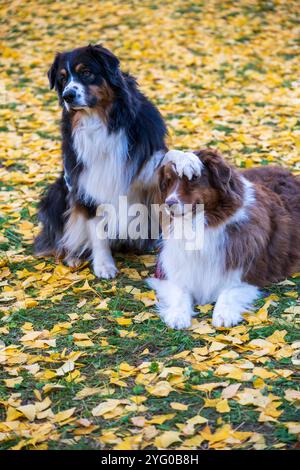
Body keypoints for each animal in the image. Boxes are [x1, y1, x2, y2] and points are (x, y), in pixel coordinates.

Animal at [35, 44, 202, 278]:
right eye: (63, 78)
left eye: (86, 72)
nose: (68, 95)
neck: (102, 120)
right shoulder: (84, 182)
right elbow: (96, 229)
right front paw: (104, 265)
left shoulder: (145, 170)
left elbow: (167, 157)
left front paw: (186, 159)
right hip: (58, 192)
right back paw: (72, 256)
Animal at [149, 149, 300, 328]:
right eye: (168, 182)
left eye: (192, 179)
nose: (169, 203)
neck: (200, 226)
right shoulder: (173, 271)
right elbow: (180, 290)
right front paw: (178, 315)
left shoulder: (247, 274)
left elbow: (229, 291)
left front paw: (224, 314)